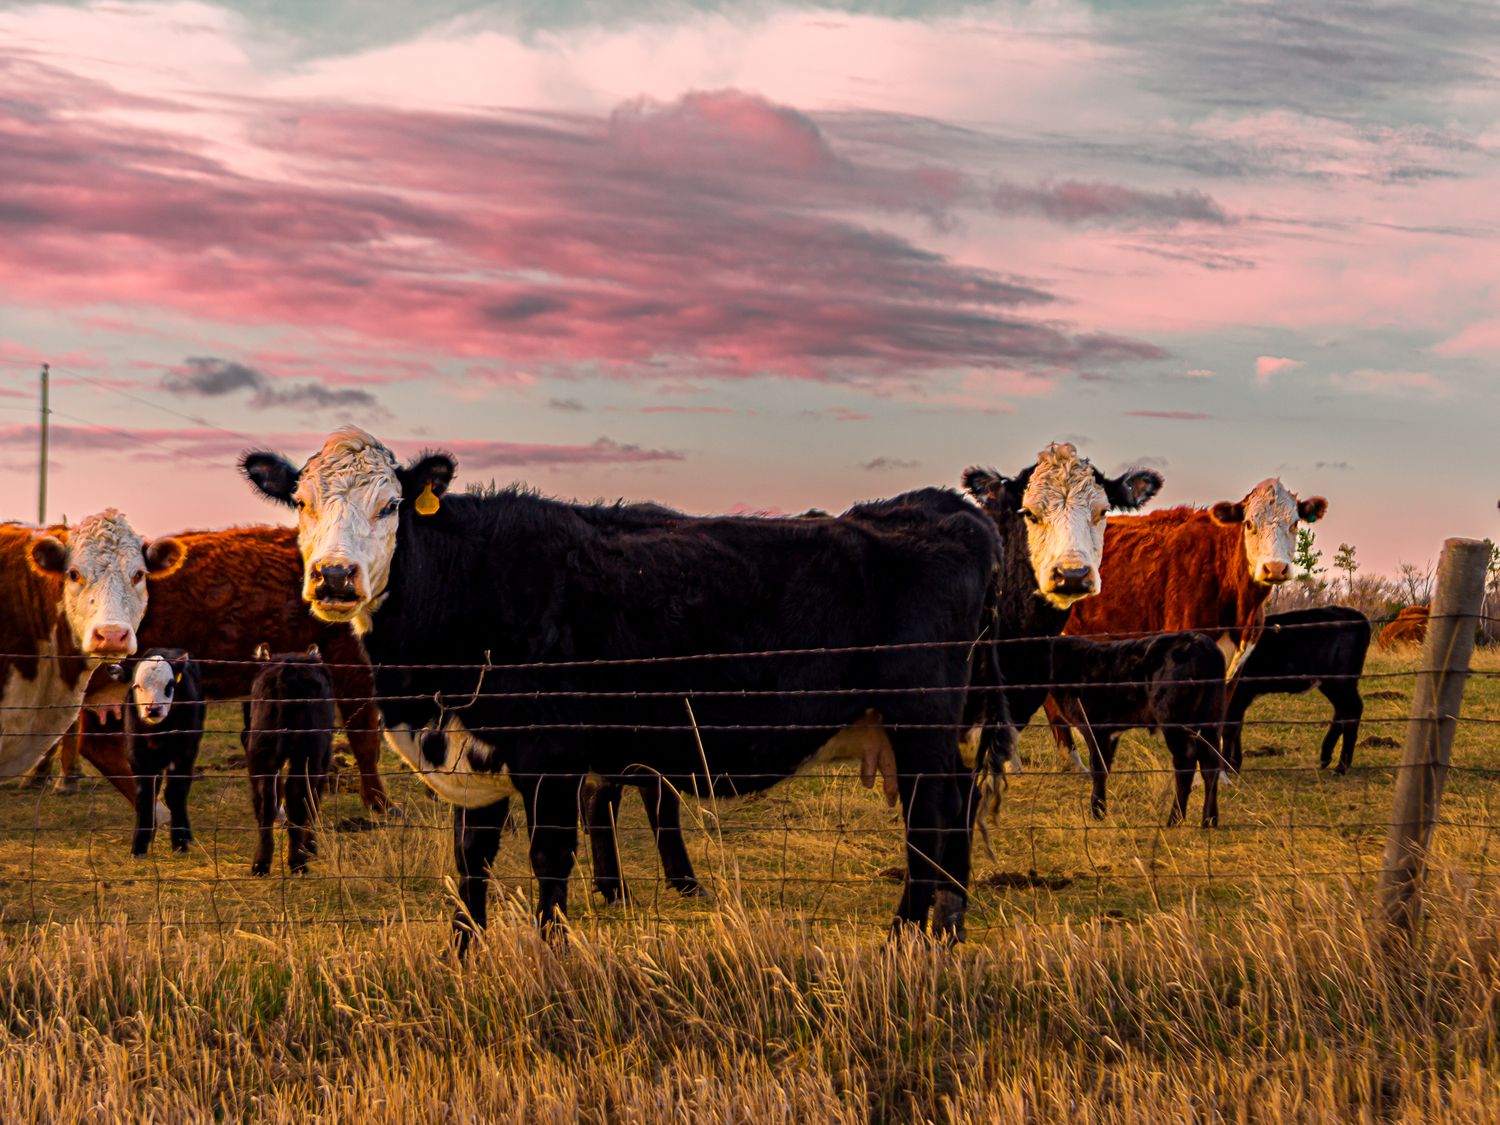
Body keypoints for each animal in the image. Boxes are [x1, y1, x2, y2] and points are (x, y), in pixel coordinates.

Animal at [124, 648, 206, 857]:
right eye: (137, 685)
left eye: (170, 685)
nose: (153, 709)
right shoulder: (137, 756)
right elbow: (145, 796)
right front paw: (139, 846)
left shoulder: (183, 754)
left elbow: (175, 794)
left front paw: (179, 843)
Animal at [242, 645, 335, 876]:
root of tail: (288, 668)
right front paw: (312, 845)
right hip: (308, 754)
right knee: (299, 797)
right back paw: (298, 860)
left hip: (261, 750)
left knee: (266, 800)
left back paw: (261, 863)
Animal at [583, 443, 1164, 905]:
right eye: (1030, 512)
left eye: (1102, 511)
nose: (1072, 575)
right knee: (614, 793)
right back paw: (629, 888)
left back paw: (659, 885)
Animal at [1048, 632, 1225, 826]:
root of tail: (1199, 641)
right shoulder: (1110, 732)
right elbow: (1106, 765)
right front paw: (1100, 809)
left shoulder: (1094, 727)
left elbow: (1098, 766)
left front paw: (1097, 812)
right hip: (1212, 719)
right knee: (1210, 763)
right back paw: (1209, 820)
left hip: (1174, 721)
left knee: (1186, 762)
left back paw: (1174, 819)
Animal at [1224, 606, 1370, 774]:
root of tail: (1353, 613)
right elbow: (1237, 727)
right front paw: (1234, 764)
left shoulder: (1238, 694)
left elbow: (1230, 727)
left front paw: (1226, 766)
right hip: (1337, 684)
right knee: (1342, 711)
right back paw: (1326, 757)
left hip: (1339, 681)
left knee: (1351, 710)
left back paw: (1341, 767)